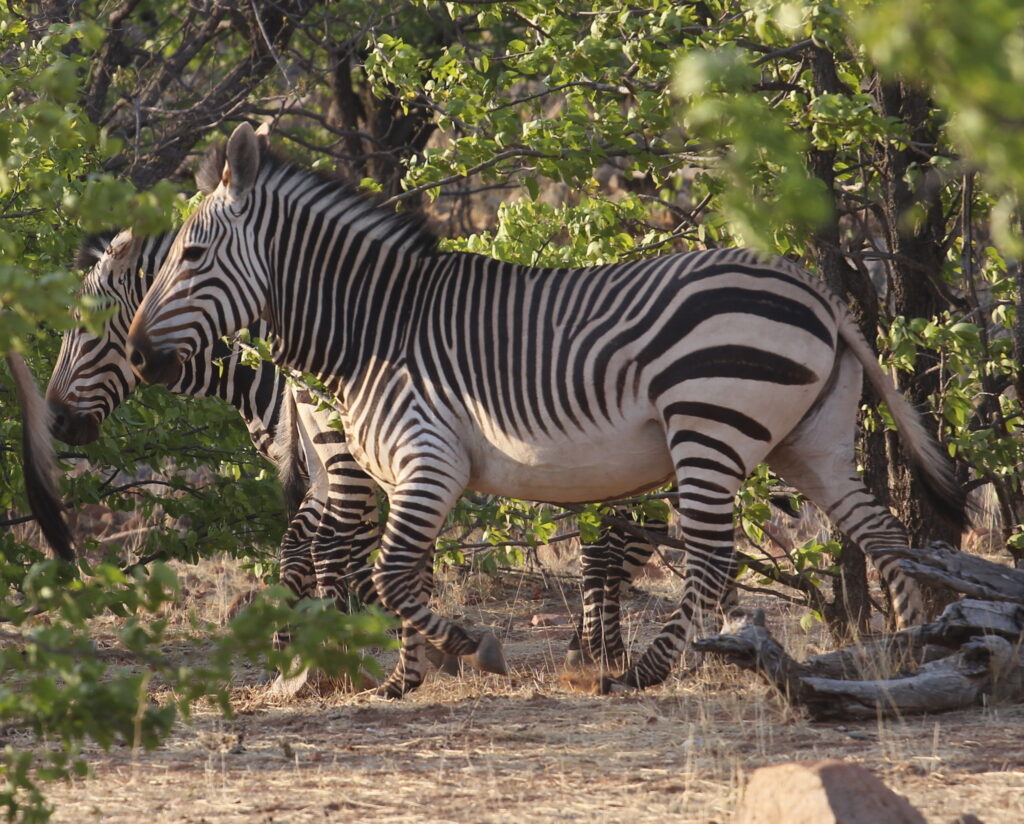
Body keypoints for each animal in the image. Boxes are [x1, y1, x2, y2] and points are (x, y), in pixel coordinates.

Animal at [123, 125, 962, 696]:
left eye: (190, 257)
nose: (135, 354)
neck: (375, 329)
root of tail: (816, 290)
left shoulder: (428, 459)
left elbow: (393, 574)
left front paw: (471, 649)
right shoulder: (402, 473)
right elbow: (398, 572)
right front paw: (403, 679)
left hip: (709, 425)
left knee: (713, 553)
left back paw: (645, 670)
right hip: (809, 441)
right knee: (884, 532)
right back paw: (911, 650)